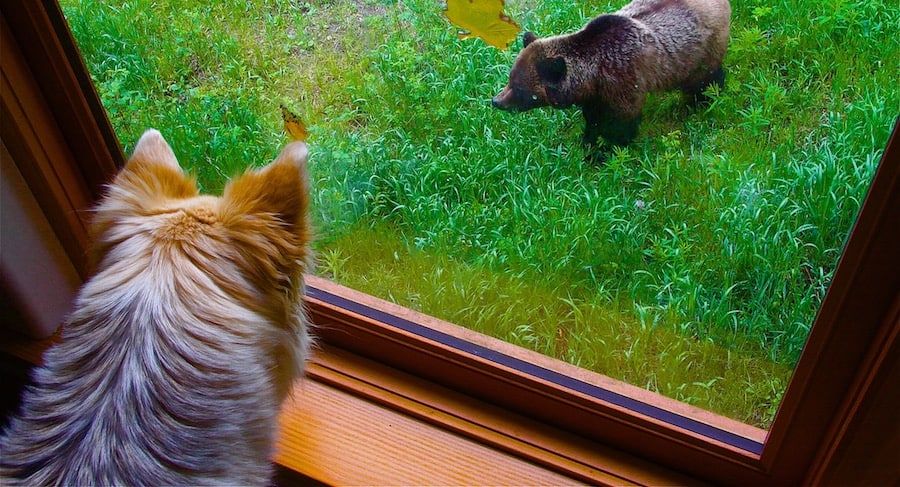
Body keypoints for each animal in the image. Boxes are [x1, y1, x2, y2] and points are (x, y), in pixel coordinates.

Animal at [492, 0, 731, 161]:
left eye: (519, 88)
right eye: (510, 78)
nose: (496, 101)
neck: (595, 74)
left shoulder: (625, 81)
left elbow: (619, 126)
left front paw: (604, 152)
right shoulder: (596, 95)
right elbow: (593, 120)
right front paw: (588, 144)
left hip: (702, 52)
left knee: (705, 81)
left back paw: (700, 103)